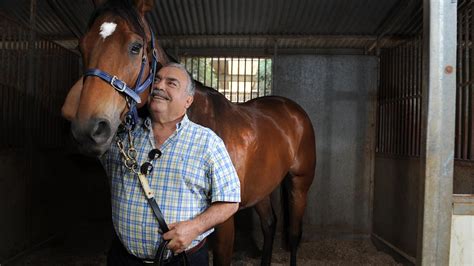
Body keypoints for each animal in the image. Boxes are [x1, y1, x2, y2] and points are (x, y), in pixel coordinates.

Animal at [61, 0, 316, 264]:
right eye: (82, 46)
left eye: (135, 46)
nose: (89, 129)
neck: (193, 115)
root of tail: (292, 109)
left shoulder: (224, 222)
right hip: (262, 189)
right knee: (269, 224)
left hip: (300, 183)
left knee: (294, 234)